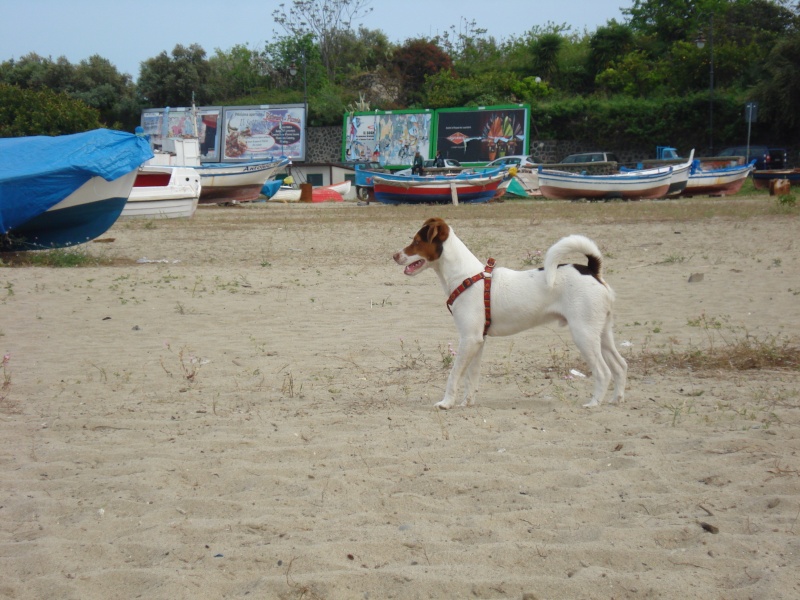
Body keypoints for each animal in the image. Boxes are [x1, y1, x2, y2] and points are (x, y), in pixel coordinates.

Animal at [392, 218, 624, 410]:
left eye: (416, 241)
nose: (394, 255)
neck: (465, 276)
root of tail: (592, 270)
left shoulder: (468, 339)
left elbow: (454, 374)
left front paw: (446, 402)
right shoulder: (477, 340)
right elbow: (471, 377)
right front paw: (467, 402)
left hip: (583, 335)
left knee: (603, 371)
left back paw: (594, 403)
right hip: (602, 333)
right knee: (620, 365)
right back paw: (616, 399)